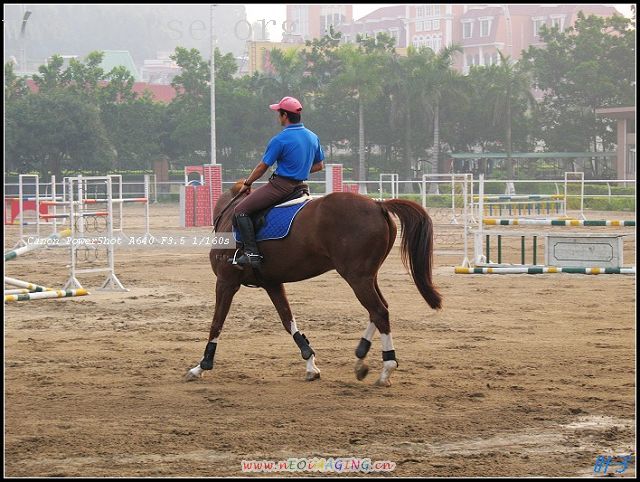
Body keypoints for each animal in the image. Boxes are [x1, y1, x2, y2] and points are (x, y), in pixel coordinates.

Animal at [184, 181, 440, 388]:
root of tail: (378, 205)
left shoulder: (226, 282)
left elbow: (216, 323)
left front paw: (202, 365)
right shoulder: (272, 284)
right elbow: (288, 321)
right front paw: (310, 363)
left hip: (356, 277)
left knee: (379, 311)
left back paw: (386, 368)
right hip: (367, 276)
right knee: (379, 310)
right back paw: (361, 357)